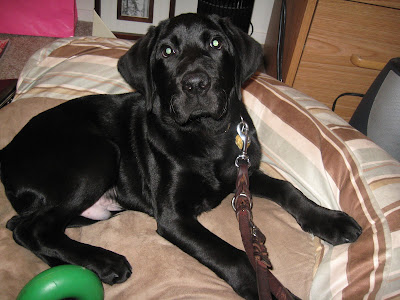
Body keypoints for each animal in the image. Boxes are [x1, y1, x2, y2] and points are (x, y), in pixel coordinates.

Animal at [0, 13, 362, 298]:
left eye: (216, 44)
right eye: (167, 51)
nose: (196, 84)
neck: (206, 134)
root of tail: (6, 151)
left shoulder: (243, 172)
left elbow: (289, 189)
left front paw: (330, 220)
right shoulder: (173, 217)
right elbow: (234, 256)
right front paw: (269, 290)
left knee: (26, 228)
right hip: (96, 158)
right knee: (32, 229)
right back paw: (106, 262)